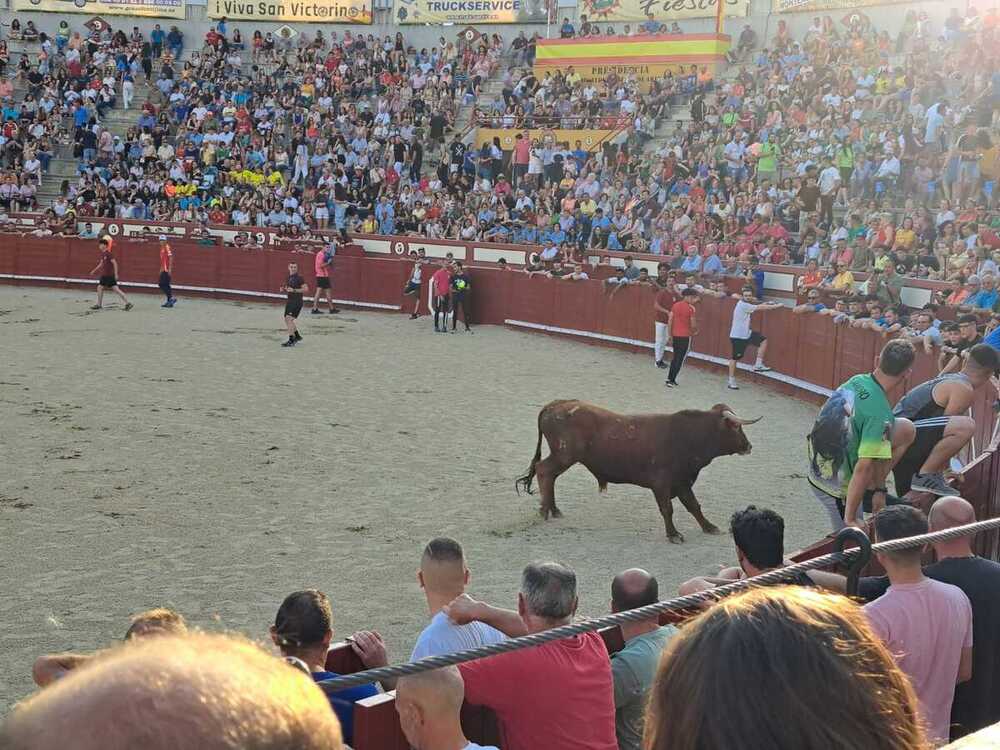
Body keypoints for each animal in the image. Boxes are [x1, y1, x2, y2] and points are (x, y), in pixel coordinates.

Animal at [516, 402, 756, 544]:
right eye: (736, 427)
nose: (749, 446)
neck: (689, 436)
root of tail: (554, 405)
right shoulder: (662, 483)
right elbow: (667, 509)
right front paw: (673, 535)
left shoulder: (682, 481)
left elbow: (694, 506)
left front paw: (709, 527)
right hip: (565, 456)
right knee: (544, 471)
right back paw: (544, 510)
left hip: (563, 457)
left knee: (550, 475)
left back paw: (554, 509)